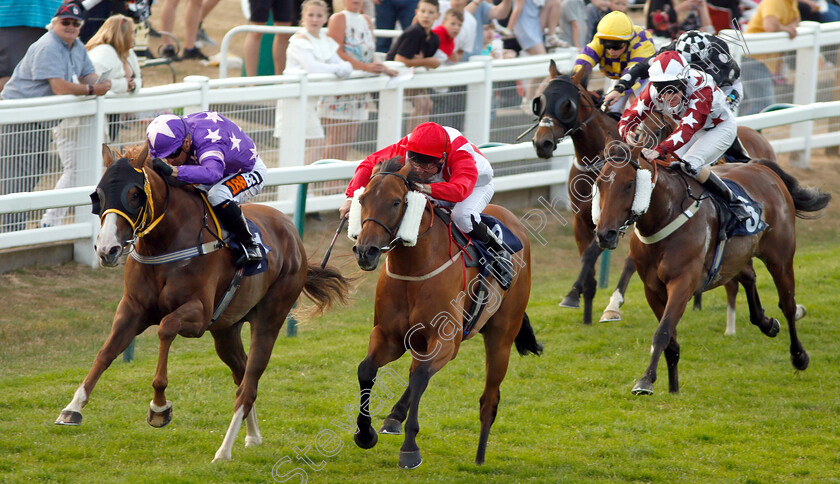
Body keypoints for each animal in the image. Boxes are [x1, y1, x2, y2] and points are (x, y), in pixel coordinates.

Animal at [53, 143, 348, 462]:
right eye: (98, 194)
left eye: (134, 194)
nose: (107, 249)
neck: (165, 243)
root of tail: (291, 232)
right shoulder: (132, 309)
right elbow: (105, 353)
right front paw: (72, 408)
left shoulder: (198, 314)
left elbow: (166, 328)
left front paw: (159, 407)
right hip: (226, 330)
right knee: (242, 375)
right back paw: (252, 436)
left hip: (270, 318)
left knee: (249, 383)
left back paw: (224, 450)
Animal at [350, 159, 540, 468]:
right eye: (363, 199)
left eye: (395, 202)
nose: (365, 251)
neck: (413, 268)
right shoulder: (389, 336)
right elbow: (367, 370)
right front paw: (365, 434)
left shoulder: (445, 339)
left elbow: (419, 378)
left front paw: (410, 449)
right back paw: (393, 418)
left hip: (501, 337)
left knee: (489, 398)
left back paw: (480, 457)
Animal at [536, 58, 776, 328]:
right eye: (540, 100)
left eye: (567, 104)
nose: (542, 143)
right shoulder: (584, 218)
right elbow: (587, 257)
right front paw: (578, 297)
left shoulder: (625, 218)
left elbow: (597, 254)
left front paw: (603, 303)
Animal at [592, 143, 832, 394]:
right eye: (599, 183)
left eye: (630, 184)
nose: (604, 234)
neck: (665, 216)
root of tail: (760, 167)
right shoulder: (652, 290)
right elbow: (671, 340)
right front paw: (673, 388)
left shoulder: (683, 282)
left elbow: (663, 332)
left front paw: (646, 380)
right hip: (735, 258)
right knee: (749, 277)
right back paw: (767, 323)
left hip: (780, 257)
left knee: (787, 304)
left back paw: (799, 356)